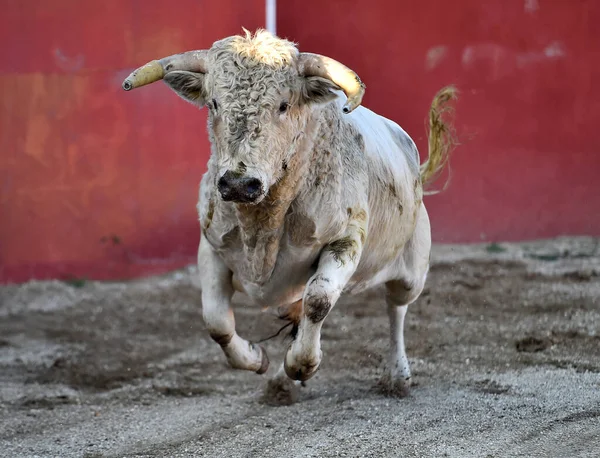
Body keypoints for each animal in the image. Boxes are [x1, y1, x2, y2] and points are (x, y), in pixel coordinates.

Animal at [124, 27, 458, 400]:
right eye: (214, 103)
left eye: (284, 105)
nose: (238, 184)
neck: (262, 224)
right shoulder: (211, 246)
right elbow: (216, 321)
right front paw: (257, 359)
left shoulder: (346, 239)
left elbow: (319, 300)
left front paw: (301, 365)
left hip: (412, 269)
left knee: (396, 308)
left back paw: (398, 375)